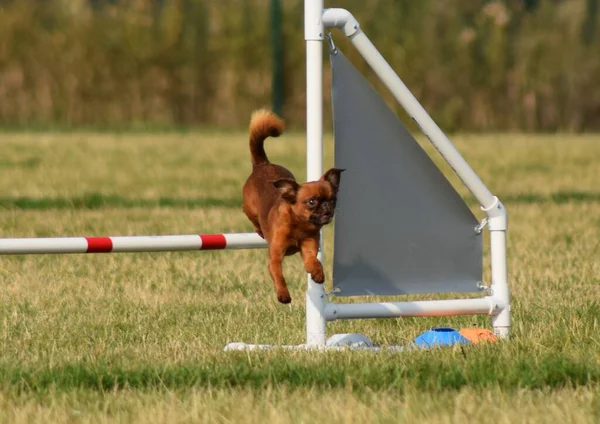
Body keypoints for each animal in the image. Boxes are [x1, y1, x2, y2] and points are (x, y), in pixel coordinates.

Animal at [243, 107, 344, 304]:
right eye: (312, 202)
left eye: (333, 200)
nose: (327, 206)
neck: (299, 225)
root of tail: (263, 164)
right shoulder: (275, 257)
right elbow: (278, 275)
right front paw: (283, 294)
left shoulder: (309, 248)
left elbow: (314, 261)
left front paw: (317, 273)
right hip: (249, 209)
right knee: (252, 218)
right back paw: (259, 229)